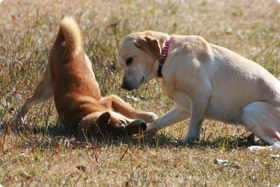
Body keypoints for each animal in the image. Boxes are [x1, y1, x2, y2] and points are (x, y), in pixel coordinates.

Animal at [14, 18, 156, 136]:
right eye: (122, 131)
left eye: (123, 122)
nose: (143, 126)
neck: (84, 113)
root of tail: (61, 41)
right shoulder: (110, 99)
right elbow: (131, 111)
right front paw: (150, 117)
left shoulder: (110, 99)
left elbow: (131, 111)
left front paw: (148, 116)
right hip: (47, 90)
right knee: (29, 101)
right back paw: (19, 119)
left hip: (47, 89)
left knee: (29, 100)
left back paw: (19, 120)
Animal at [117, 30, 280, 150]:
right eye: (122, 64)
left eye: (129, 60)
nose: (123, 86)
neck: (167, 55)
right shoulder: (183, 108)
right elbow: (158, 121)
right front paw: (142, 133)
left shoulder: (200, 95)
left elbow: (193, 128)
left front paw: (186, 142)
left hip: (250, 110)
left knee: (277, 144)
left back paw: (254, 148)